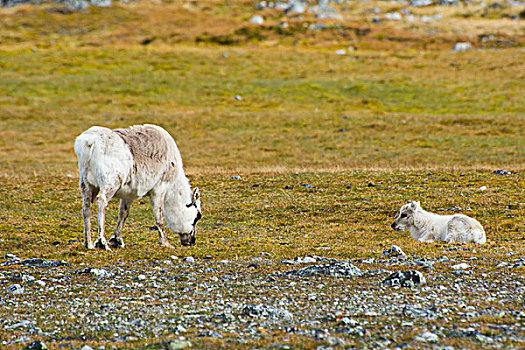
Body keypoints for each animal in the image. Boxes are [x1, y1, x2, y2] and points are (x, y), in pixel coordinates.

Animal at [74, 124, 202, 250]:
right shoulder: (159, 189)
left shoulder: (128, 195)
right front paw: (165, 242)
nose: (192, 241)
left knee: (86, 208)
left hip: (86, 184)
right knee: (101, 200)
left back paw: (89, 243)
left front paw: (117, 240)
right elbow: (159, 216)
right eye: (197, 216)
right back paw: (102, 242)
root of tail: (90, 142)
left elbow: (123, 214)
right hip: (111, 182)